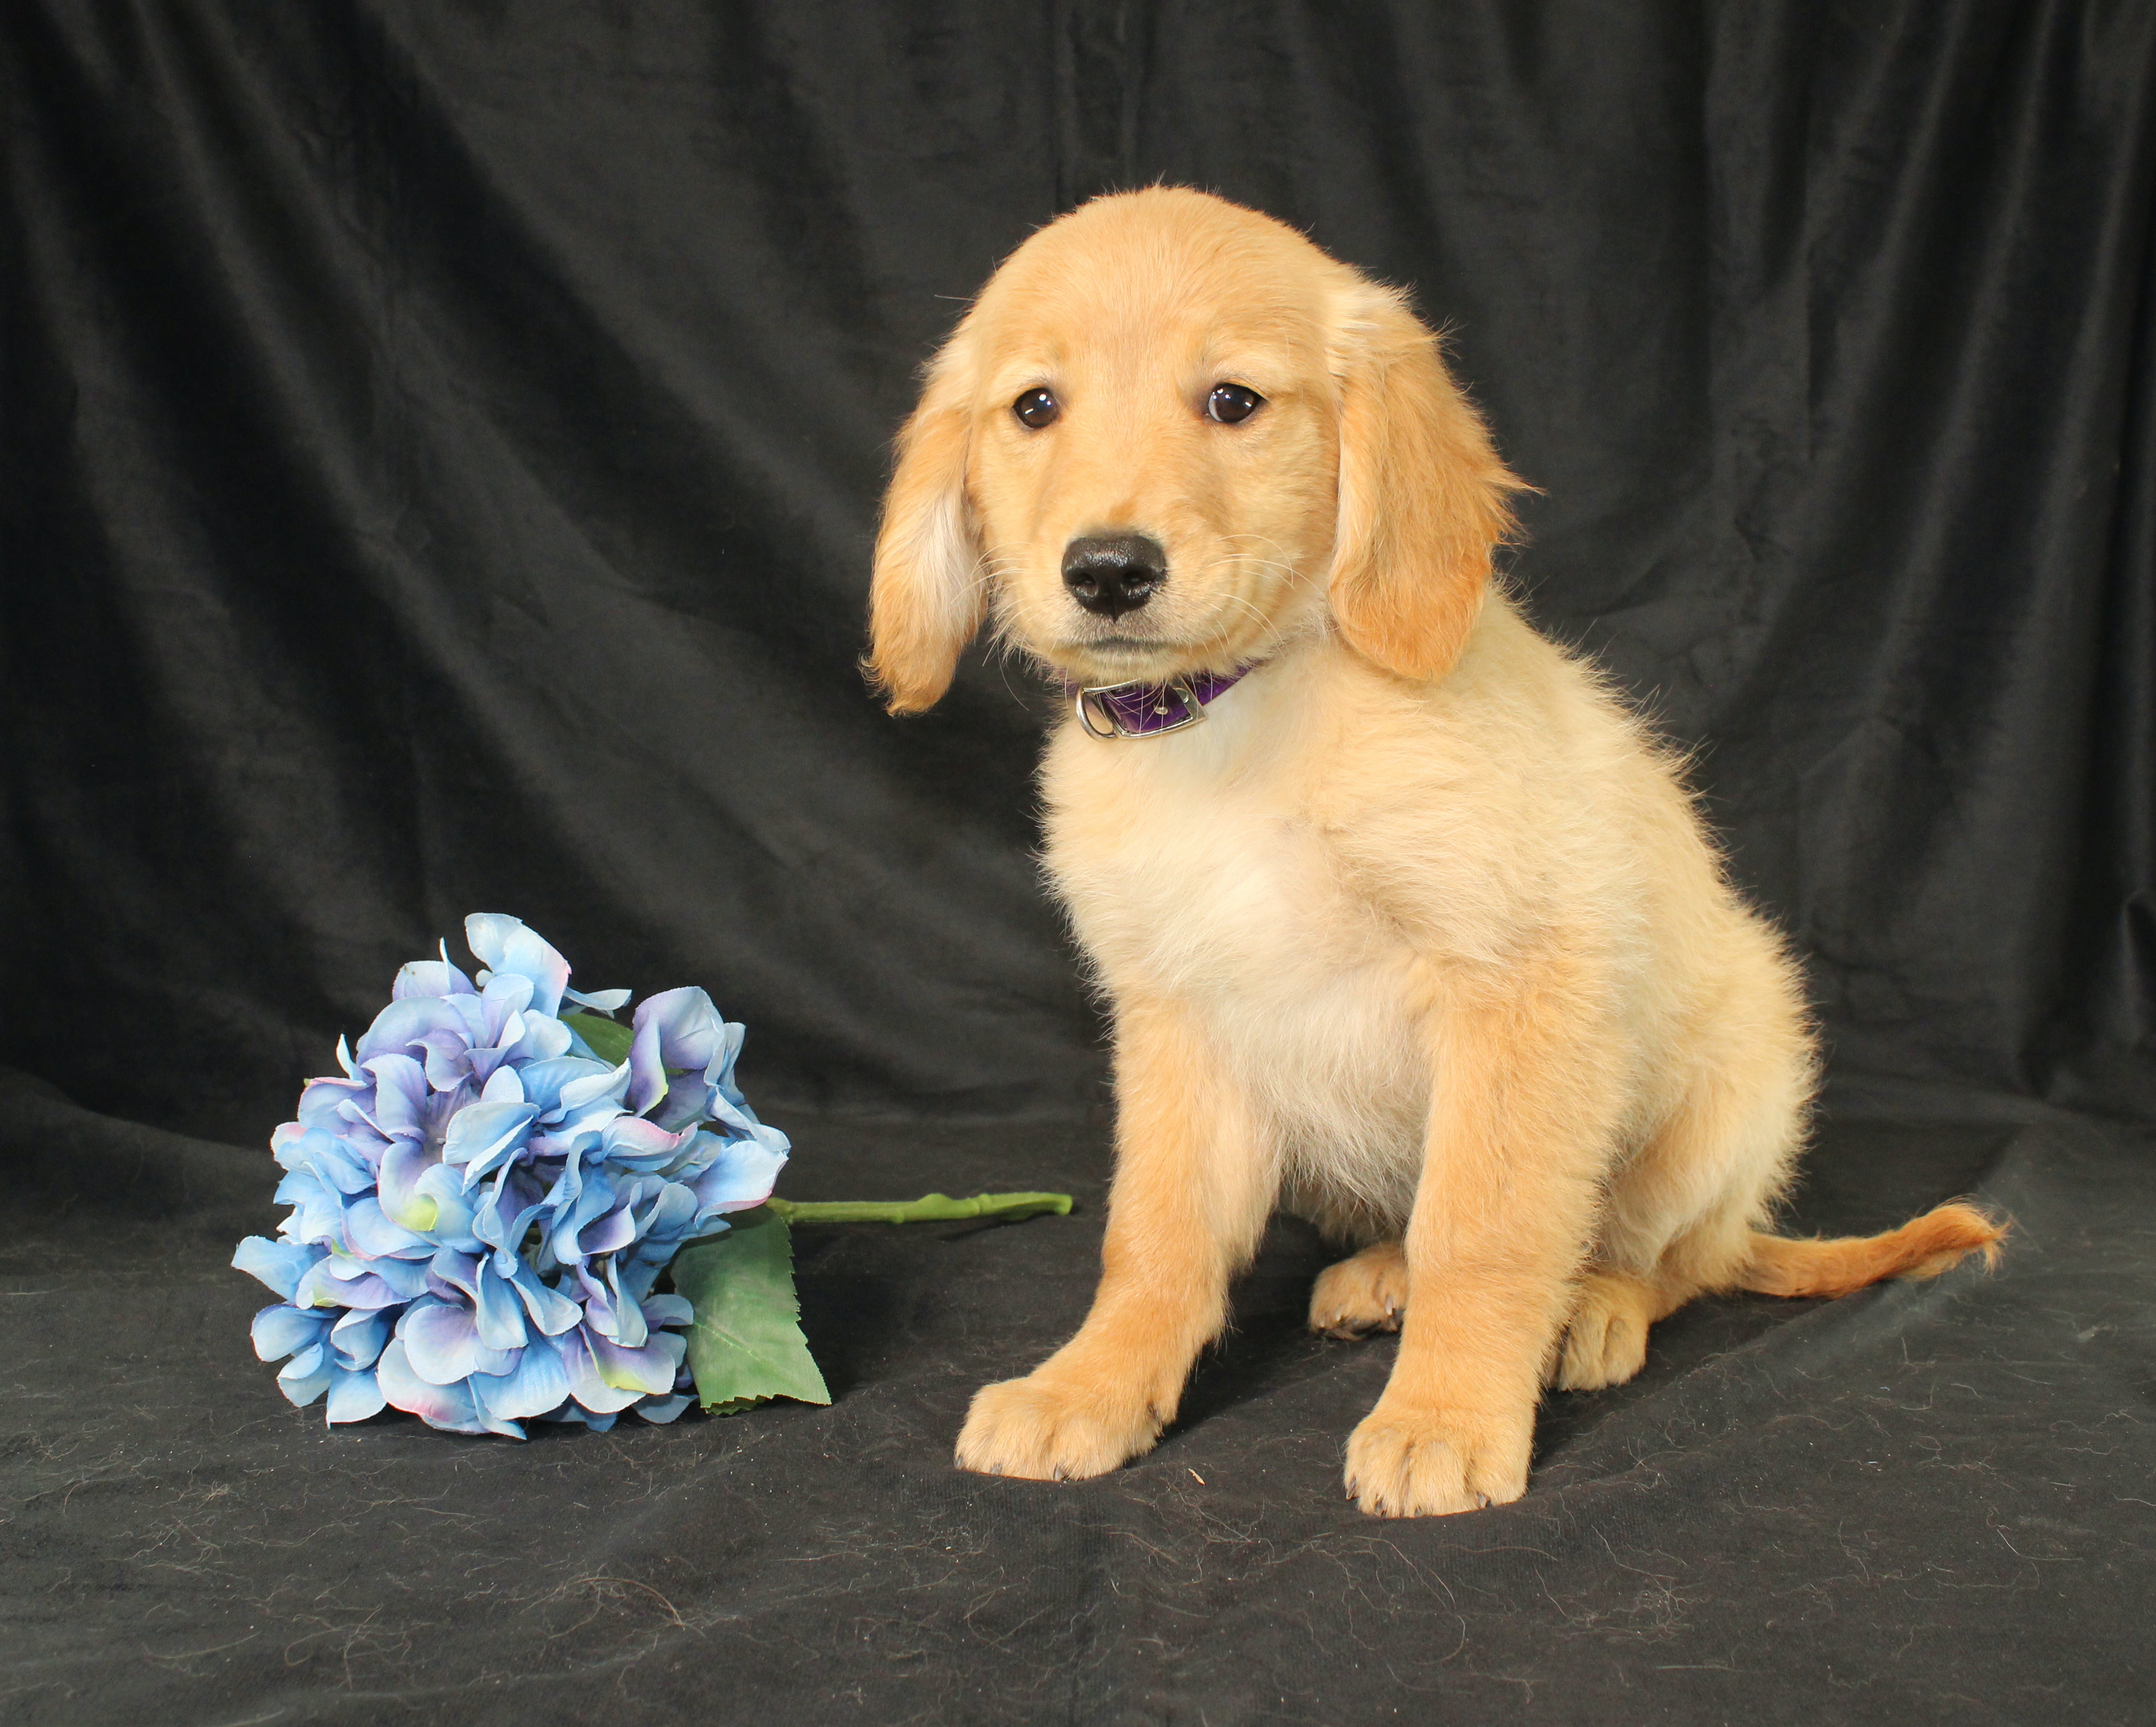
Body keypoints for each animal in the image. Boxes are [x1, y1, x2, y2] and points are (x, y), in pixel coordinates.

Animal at [862, 182, 2000, 1518]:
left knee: (1665, 1258)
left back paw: (1588, 1313)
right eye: (1035, 408)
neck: (1240, 717)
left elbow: (1487, 1226)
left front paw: (1447, 1412)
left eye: (1233, 403)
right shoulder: (1175, 1018)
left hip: (1726, 1097)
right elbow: (1153, 1237)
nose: (1107, 572)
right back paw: (1382, 1278)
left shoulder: (1518, 981)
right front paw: (1092, 1386)